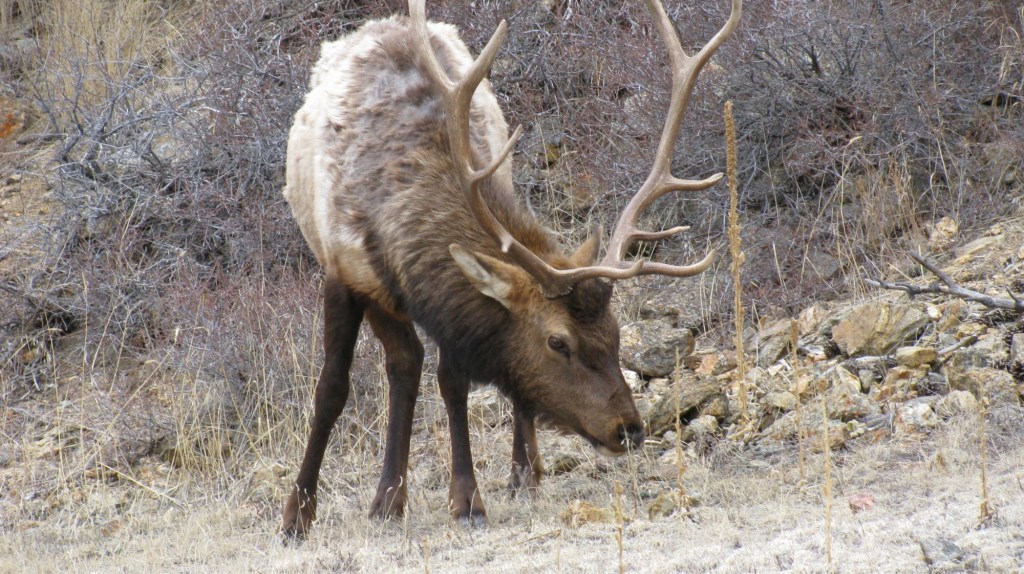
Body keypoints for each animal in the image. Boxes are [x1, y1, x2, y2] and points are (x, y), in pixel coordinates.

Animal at [281, 0, 741, 537]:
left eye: (615, 333)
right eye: (558, 342)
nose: (629, 429)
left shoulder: (451, 306)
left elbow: (453, 384)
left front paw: (468, 500)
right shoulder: (342, 272)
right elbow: (331, 389)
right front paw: (296, 515)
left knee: (422, 367)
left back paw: (513, 476)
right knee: (404, 363)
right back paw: (388, 500)